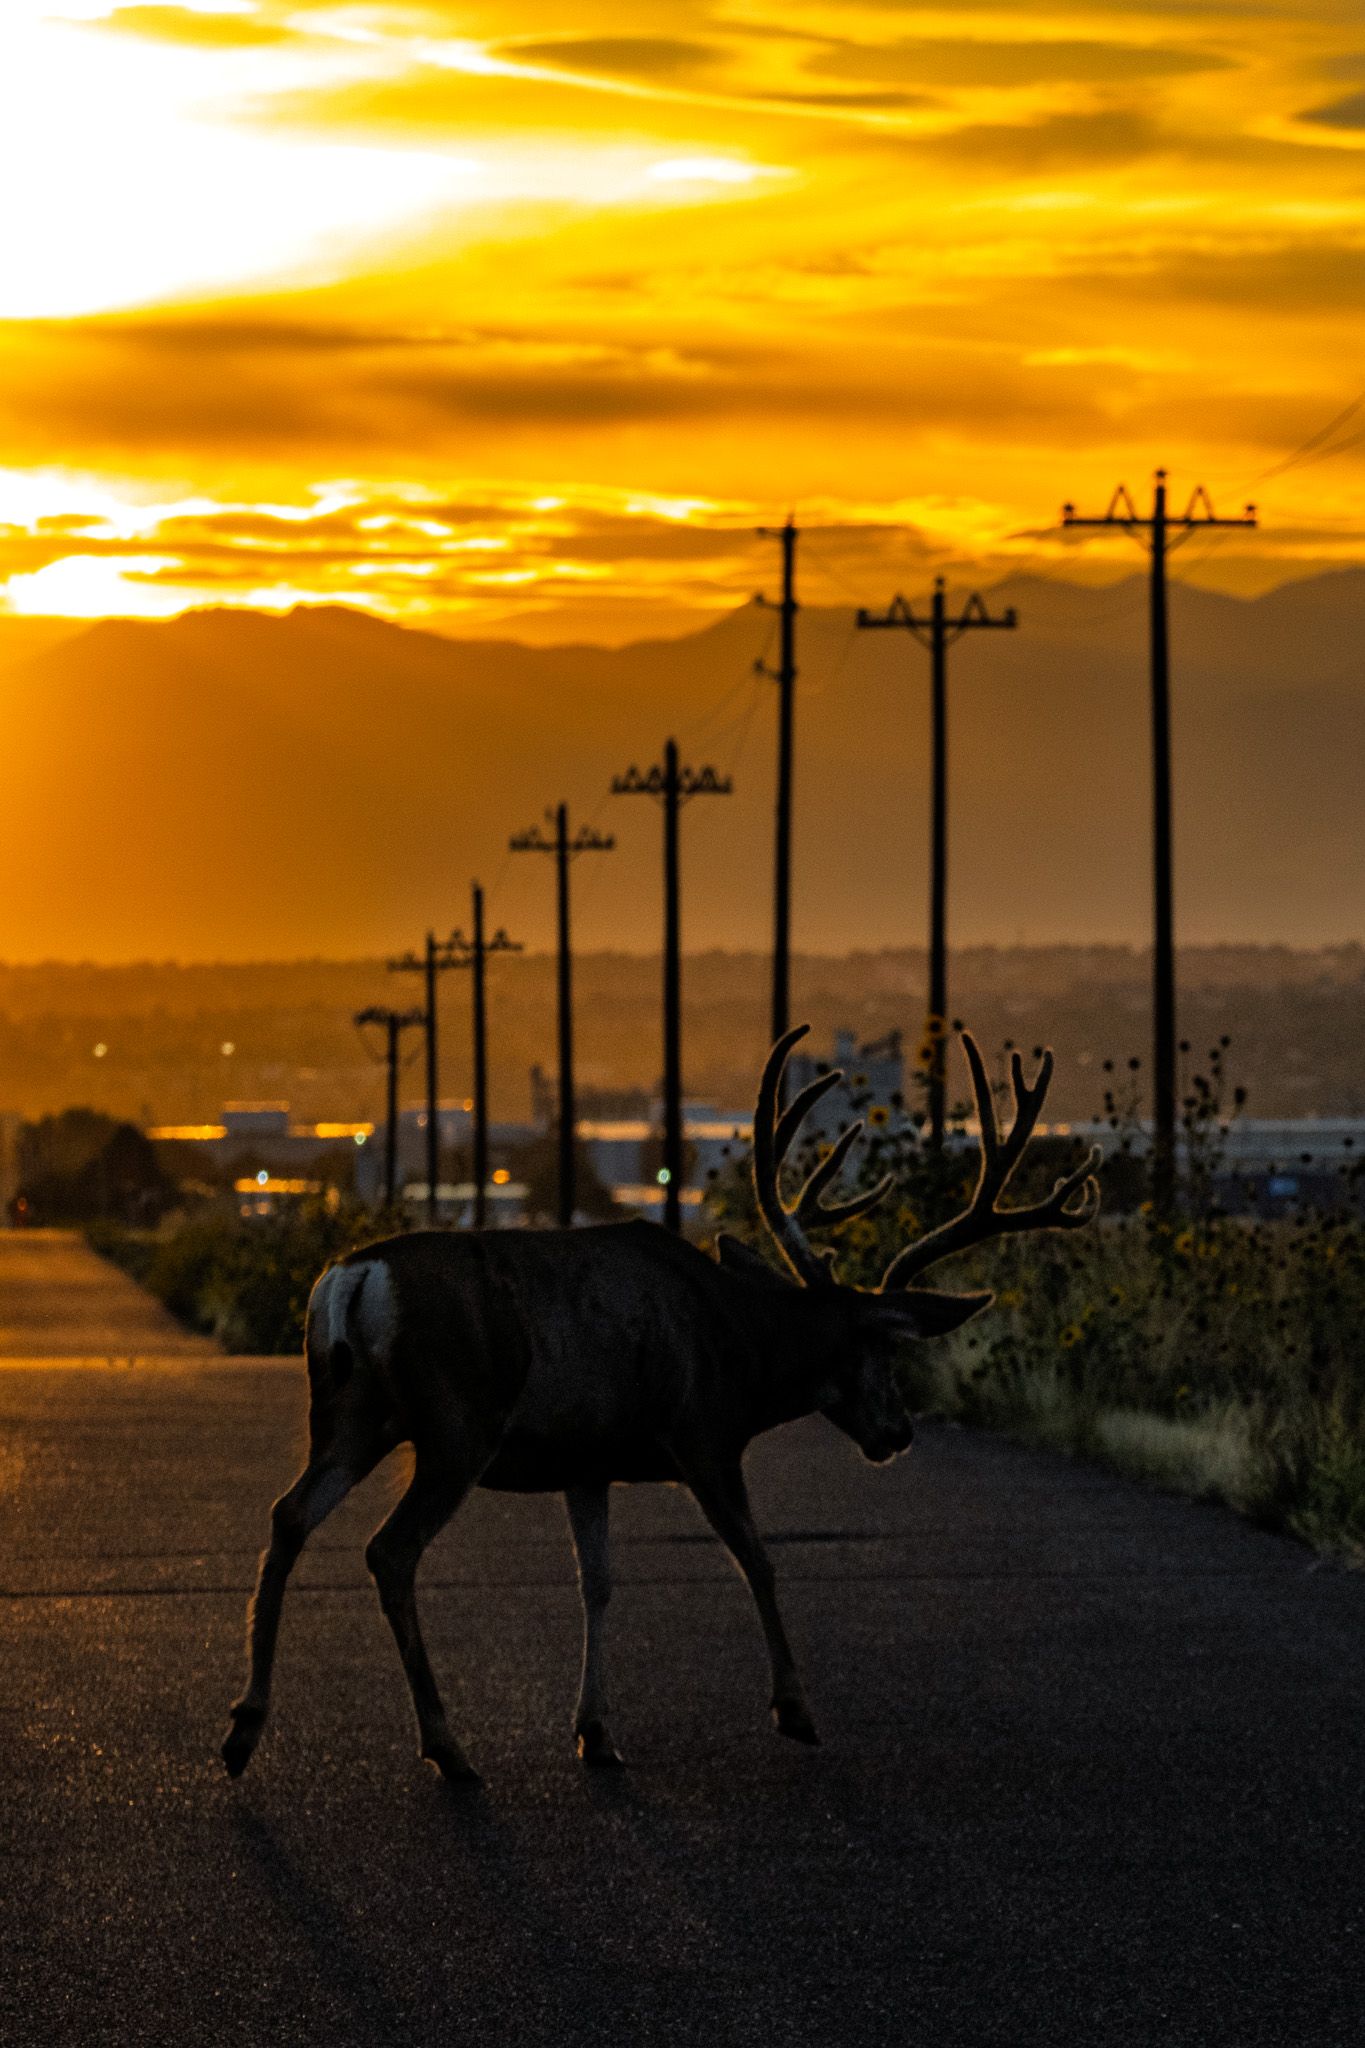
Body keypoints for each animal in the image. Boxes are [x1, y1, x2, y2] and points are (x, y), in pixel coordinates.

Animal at [221, 1025, 1100, 1782]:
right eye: (881, 1348)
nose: (898, 1432)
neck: (740, 1348)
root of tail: (353, 1280)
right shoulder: (703, 1435)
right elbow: (757, 1557)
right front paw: (794, 1709)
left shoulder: (586, 1461)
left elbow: (599, 1581)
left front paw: (597, 1733)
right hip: (454, 1426)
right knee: (389, 1549)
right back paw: (447, 1748)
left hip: (352, 1416)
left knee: (288, 1514)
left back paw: (244, 1729)